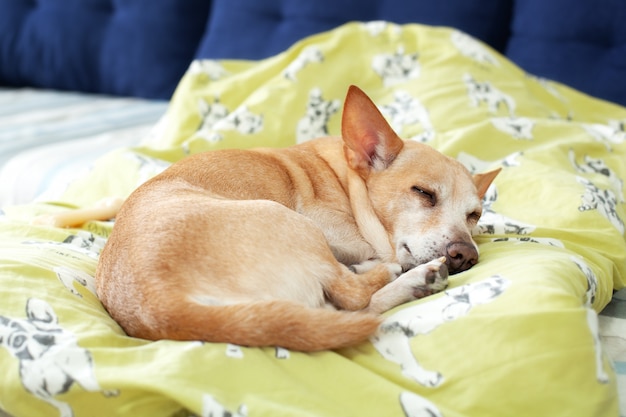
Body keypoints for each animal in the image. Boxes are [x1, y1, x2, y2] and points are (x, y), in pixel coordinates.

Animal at [95, 85, 500, 352]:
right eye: (424, 193)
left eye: (474, 215)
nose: (466, 254)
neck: (346, 181)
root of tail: (161, 306)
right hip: (289, 220)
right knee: (354, 296)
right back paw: (400, 275)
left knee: (348, 312)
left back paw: (416, 282)